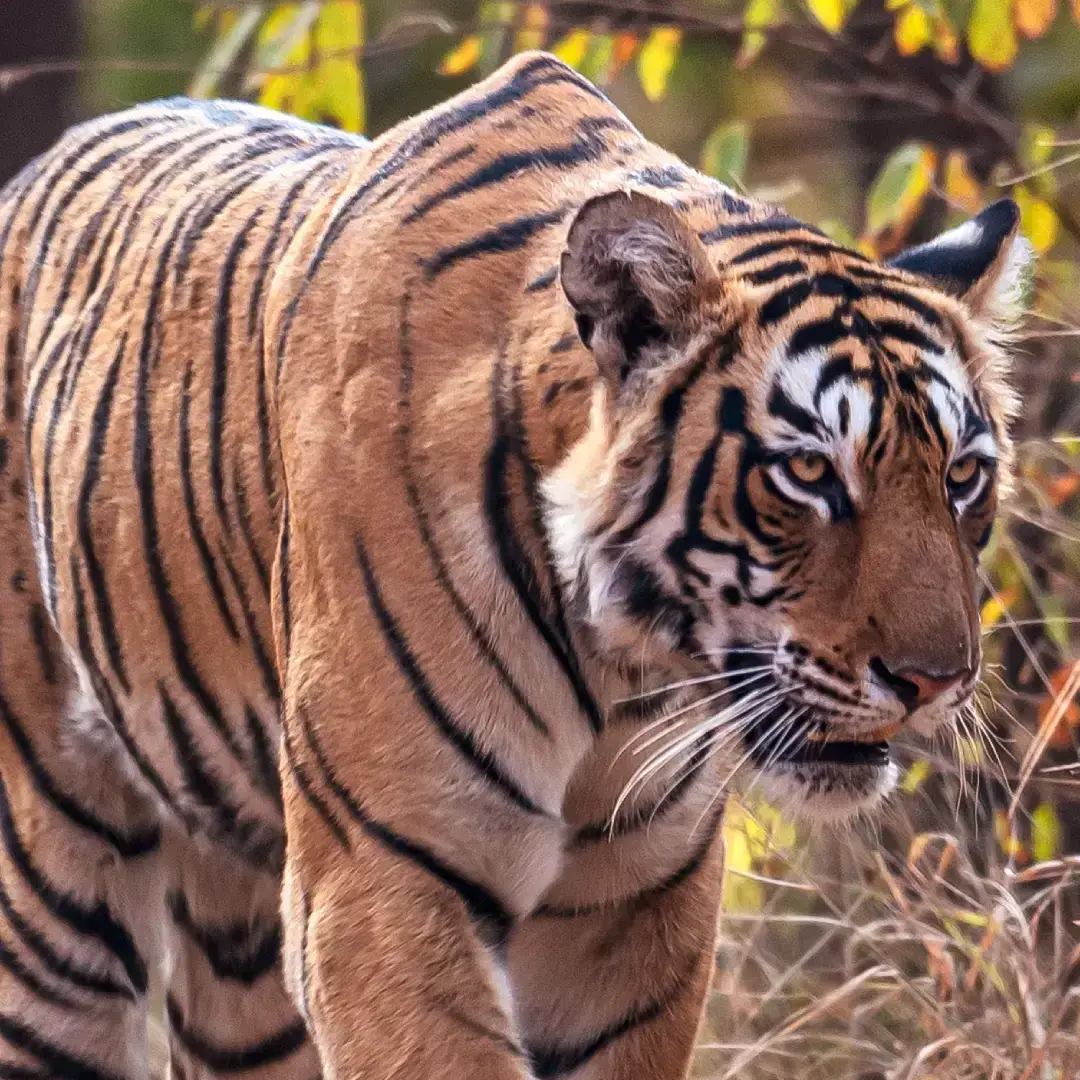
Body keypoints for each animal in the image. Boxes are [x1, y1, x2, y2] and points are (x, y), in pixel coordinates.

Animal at [0, 48, 1028, 1080]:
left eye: (963, 476)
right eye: (810, 472)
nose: (935, 682)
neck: (623, 672)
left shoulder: (630, 907)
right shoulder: (381, 882)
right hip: (55, 903)